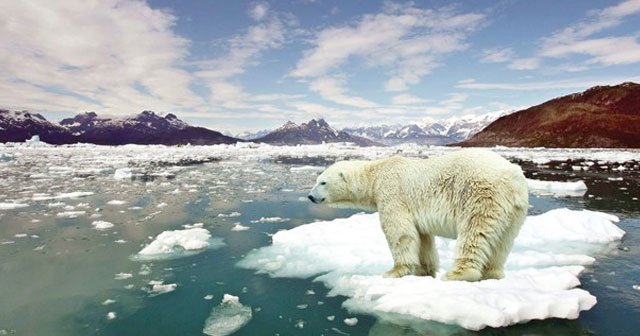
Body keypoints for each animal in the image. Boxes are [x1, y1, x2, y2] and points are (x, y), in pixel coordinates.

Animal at [308, 149, 528, 280]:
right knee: (503, 241)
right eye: (317, 180)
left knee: (474, 232)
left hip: (480, 194)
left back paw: (458, 273)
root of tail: (513, 177)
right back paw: (492, 273)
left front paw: (394, 271)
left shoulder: (392, 193)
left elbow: (399, 232)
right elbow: (422, 238)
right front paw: (425, 270)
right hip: (514, 211)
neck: (375, 174)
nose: (310, 196)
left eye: (323, 182)